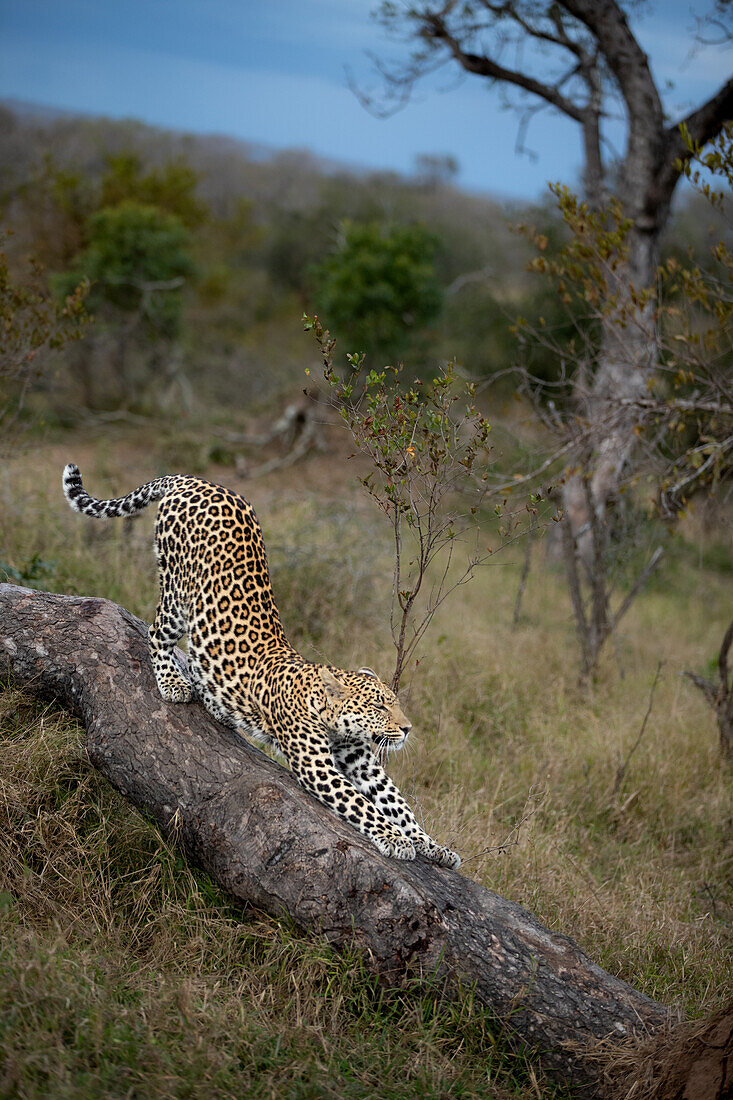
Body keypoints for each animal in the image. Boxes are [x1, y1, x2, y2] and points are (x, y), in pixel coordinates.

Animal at [64, 464, 462, 866]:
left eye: (394, 704)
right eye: (379, 706)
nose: (408, 729)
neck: (330, 717)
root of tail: (195, 480)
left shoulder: (362, 761)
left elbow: (398, 802)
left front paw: (433, 846)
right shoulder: (317, 766)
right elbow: (361, 805)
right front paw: (395, 838)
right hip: (177, 589)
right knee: (156, 631)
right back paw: (173, 684)